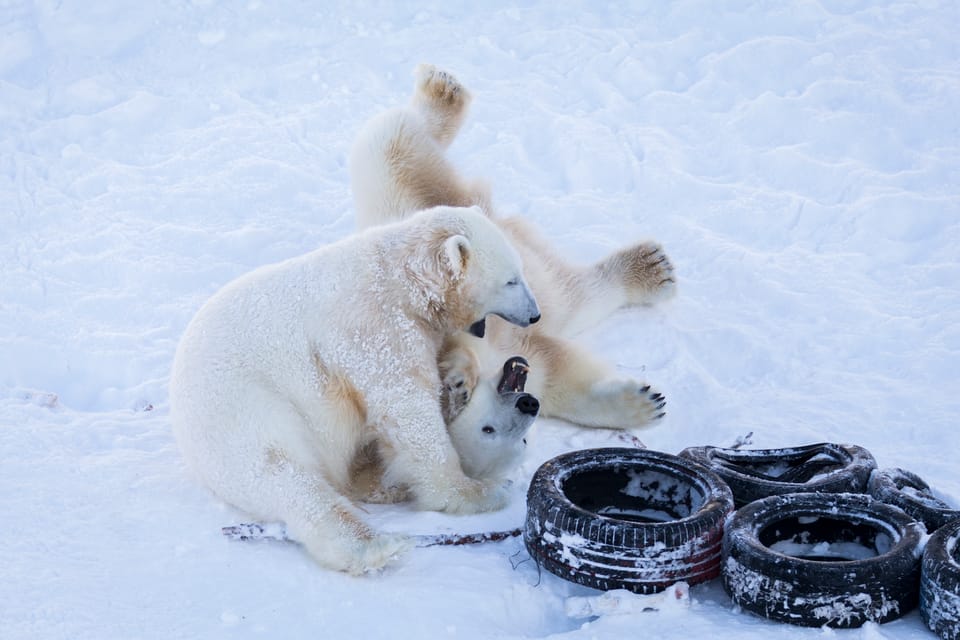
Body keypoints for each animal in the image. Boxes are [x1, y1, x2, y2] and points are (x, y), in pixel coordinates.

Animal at [171, 206, 540, 576]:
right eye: (511, 279)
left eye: (522, 272)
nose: (535, 315)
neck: (403, 277)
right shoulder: (374, 327)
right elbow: (406, 408)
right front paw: (476, 491)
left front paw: (458, 380)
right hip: (246, 410)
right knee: (283, 473)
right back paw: (373, 547)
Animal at [350, 65, 676, 430]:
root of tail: (482, 209)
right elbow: (555, 375)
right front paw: (642, 403)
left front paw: (457, 377)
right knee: (572, 297)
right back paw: (652, 269)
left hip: (396, 179)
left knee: (390, 131)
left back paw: (441, 91)